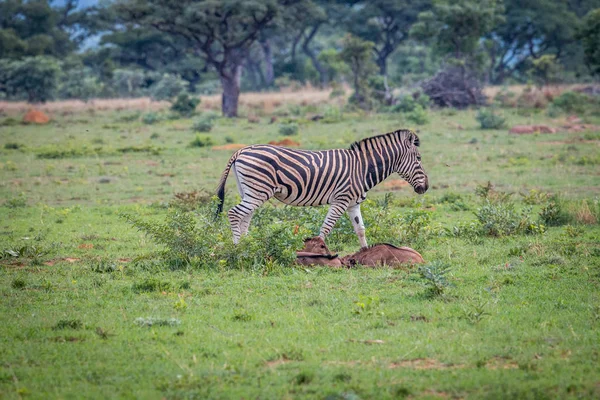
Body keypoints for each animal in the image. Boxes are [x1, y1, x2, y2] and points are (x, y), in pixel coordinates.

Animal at [214, 129, 426, 247]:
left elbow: (360, 230)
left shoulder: (353, 204)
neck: (362, 168)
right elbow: (326, 228)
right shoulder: (341, 200)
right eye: (419, 158)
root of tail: (241, 150)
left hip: (249, 191)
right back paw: (237, 247)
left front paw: (366, 254)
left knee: (245, 217)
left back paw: (246, 246)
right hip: (258, 191)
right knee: (234, 213)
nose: (425, 187)